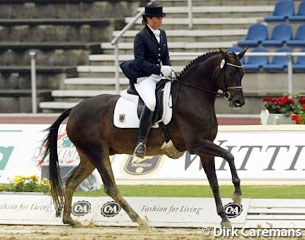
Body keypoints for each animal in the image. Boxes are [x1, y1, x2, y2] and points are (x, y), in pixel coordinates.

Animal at [42, 48, 246, 229]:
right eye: (230, 72)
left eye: (242, 73)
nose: (239, 102)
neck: (192, 96)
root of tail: (74, 109)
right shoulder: (196, 144)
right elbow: (229, 155)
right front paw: (237, 194)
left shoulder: (204, 148)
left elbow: (214, 182)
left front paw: (224, 218)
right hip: (97, 153)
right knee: (110, 187)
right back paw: (139, 220)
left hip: (88, 156)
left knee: (71, 182)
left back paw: (70, 220)